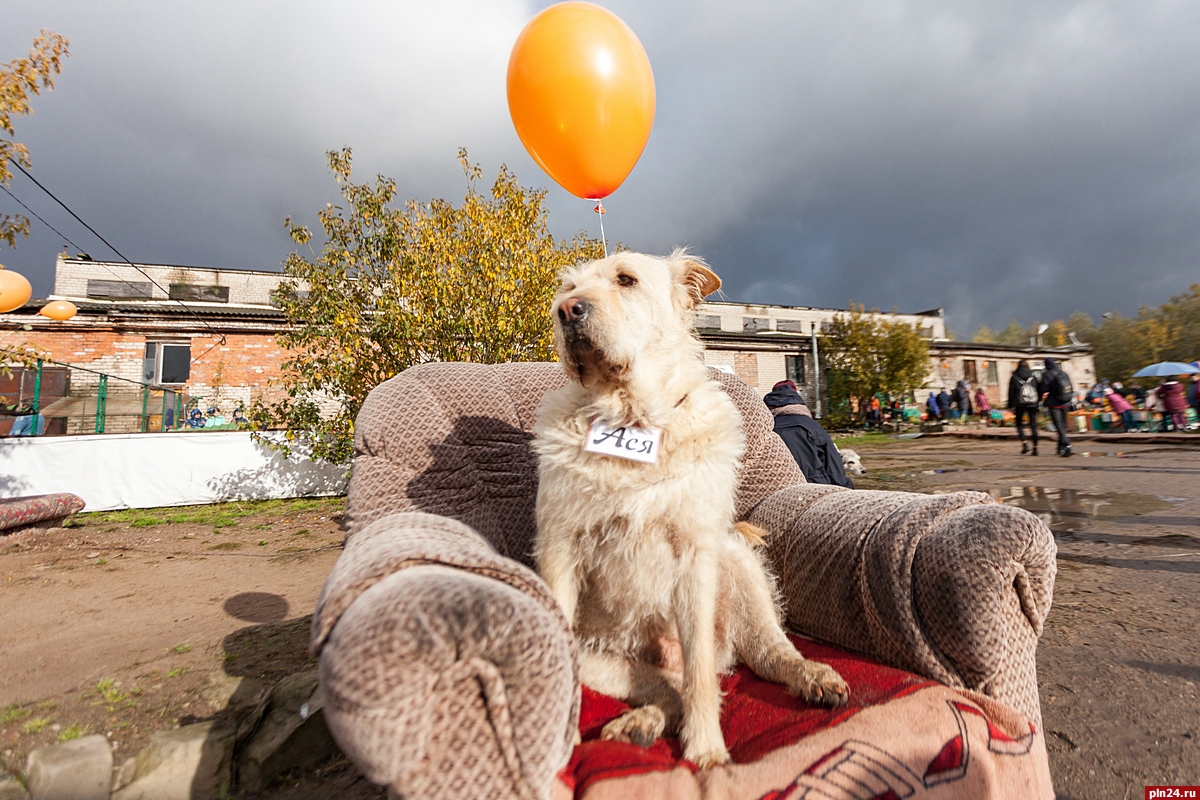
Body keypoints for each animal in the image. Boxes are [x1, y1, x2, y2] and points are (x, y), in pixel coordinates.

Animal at [535, 250, 854, 767]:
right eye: (567, 288)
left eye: (626, 280)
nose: (567, 311)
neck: (631, 415)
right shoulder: (560, 546)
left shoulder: (695, 557)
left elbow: (700, 675)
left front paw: (707, 751)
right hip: (605, 659)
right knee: (667, 689)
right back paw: (640, 724)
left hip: (738, 565)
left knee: (767, 654)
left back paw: (814, 676)